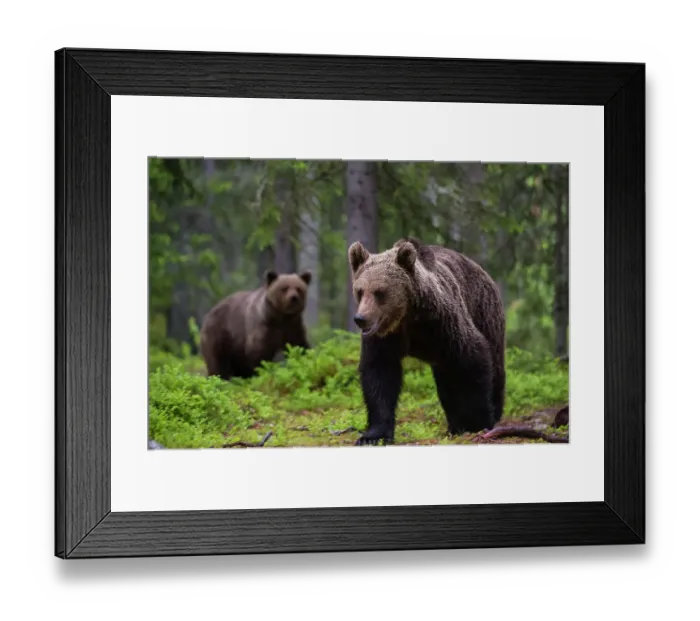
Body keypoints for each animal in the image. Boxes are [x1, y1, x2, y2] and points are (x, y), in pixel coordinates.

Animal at [347, 236, 506, 446]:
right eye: (360, 291)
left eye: (380, 292)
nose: (361, 319)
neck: (406, 316)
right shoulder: (384, 338)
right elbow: (379, 376)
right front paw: (373, 435)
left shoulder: (442, 324)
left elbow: (472, 359)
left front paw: (476, 423)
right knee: (446, 382)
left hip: (485, 314)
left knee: (492, 367)